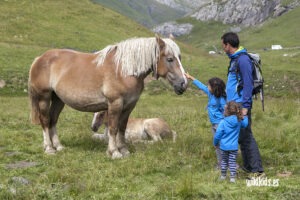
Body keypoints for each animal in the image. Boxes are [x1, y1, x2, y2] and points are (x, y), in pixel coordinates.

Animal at [28, 35, 188, 159]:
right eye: (170, 59)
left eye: (179, 58)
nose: (183, 84)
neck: (123, 70)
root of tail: (39, 58)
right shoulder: (115, 103)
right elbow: (113, 128)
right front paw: (114, 152)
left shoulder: (129, 106)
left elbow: (122, 128)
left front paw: (124, 150)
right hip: (44, 98)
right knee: (45, 121)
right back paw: (49, 148)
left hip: (58, 100)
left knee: (53, 120)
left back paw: (59, 146)